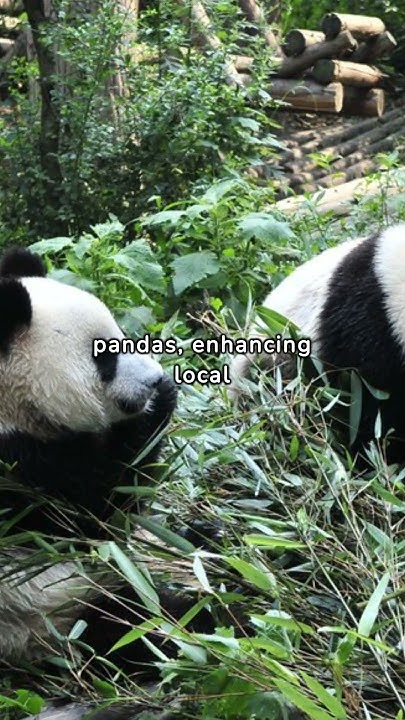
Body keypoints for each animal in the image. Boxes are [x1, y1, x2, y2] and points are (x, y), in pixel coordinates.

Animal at [0, 245, 192, 675]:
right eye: (105, 357)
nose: (155, 378)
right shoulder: (14, 473)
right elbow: (95, 515)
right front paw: (159, 404)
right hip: (48, 612)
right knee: (135, 624)